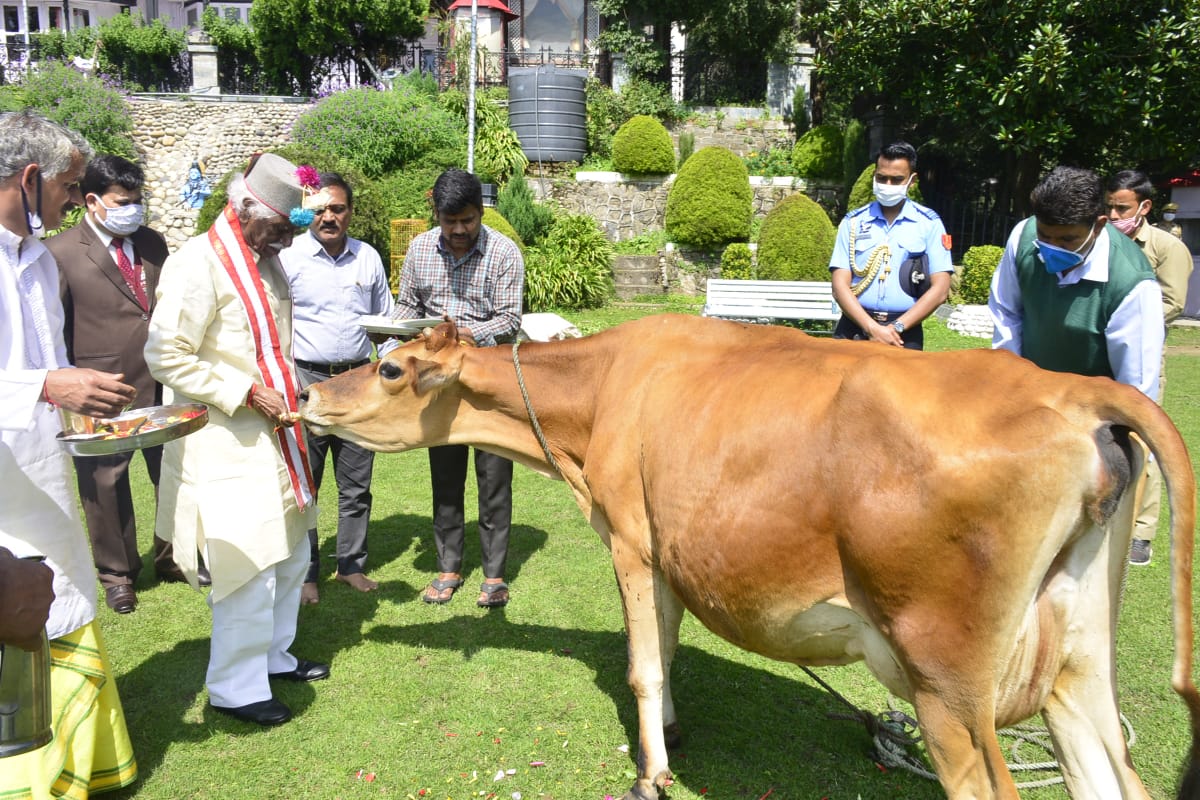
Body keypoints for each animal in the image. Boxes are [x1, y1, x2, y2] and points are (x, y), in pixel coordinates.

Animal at [297, 314, 1200, 800]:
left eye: (388, 367)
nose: (308, 393)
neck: (601, 394)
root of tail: (1074, 388)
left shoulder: (631, 538)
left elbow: (642, 665)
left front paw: (650, 773)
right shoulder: (665, 548)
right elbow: (665, 652)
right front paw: (668, 734)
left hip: (945, 679)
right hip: (1078, 666)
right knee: (1111, 773)